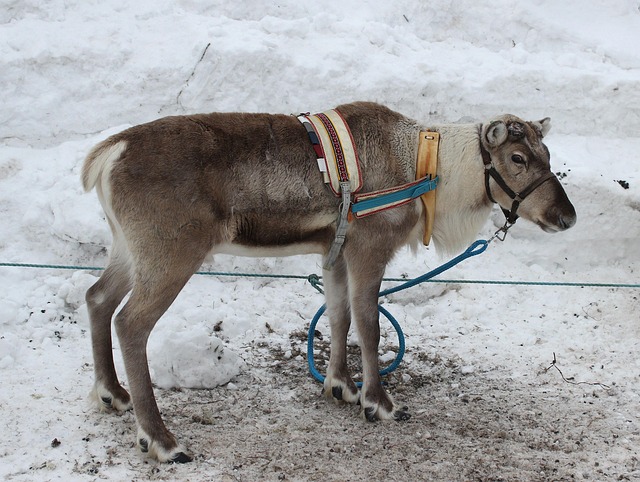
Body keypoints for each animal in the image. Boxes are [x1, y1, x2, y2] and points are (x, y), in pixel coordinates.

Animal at [81, 101, 576, 462]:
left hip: (128, 248)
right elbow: (370, 326)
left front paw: (341, 386)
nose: (566, 217)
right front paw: (379, 402)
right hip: (170, 254)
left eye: (548, 155)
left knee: (97, 296)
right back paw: (161, 440)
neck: (432, 174)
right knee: (130, 322)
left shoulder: (333, 253)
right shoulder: (370, 248)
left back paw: (112, 394)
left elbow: (339, 317)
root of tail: (106, 156)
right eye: (517, 157)